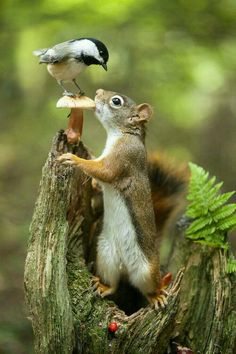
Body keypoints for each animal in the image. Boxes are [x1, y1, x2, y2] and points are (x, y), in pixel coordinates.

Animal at [58, 89, 187, 310]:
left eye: (116, 101)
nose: (97, 92)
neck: (122, 134)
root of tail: (126, 268)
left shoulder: (123, 157)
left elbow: (104, 171)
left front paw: (73, 159)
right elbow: (99, 180)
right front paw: (93, 183)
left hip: (146, 271)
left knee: (148, 288)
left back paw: (157, 296)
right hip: (105, 256)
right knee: (114, 283)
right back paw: (103, 286)